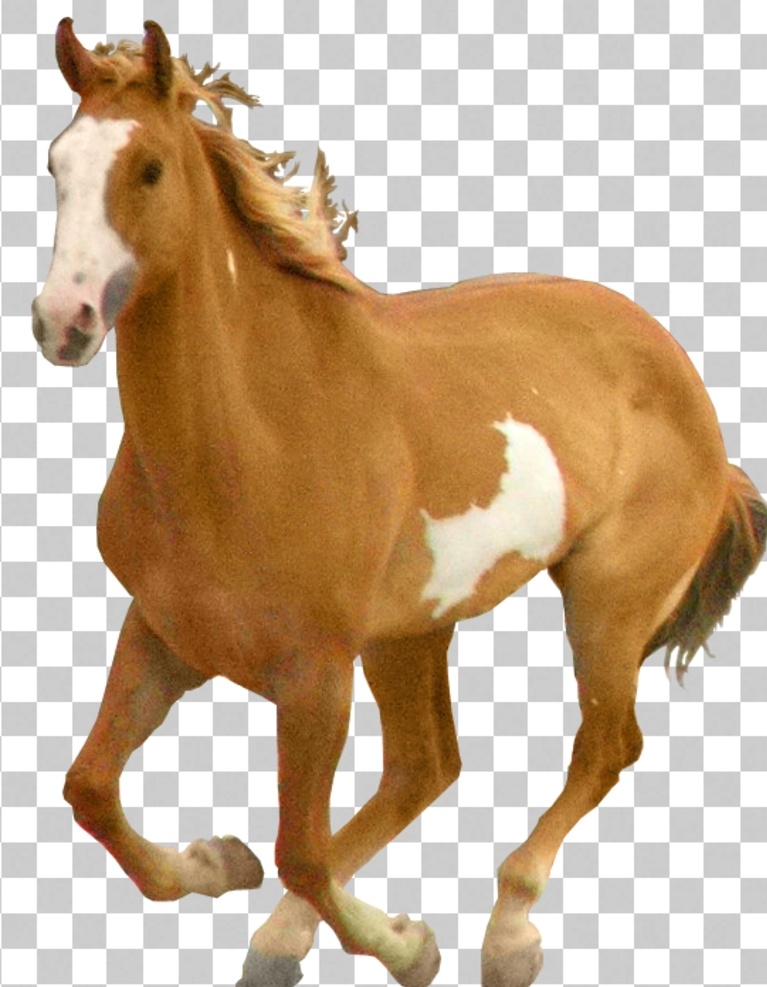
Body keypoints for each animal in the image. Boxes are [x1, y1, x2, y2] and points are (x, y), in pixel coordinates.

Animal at [33, 19, 765, 987]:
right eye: (56, 162)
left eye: (149, 168)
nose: (61, 321)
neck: (254, 437)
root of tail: (685, 381)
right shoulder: (167, 632)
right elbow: (89, 787)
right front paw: (216, 861)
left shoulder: (315, 671)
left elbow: (301, 847)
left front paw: (410, 947)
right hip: (412, 631)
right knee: (428, 765)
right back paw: (283, 935)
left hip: (605, 605)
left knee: (603, 748)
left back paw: (506, 932)